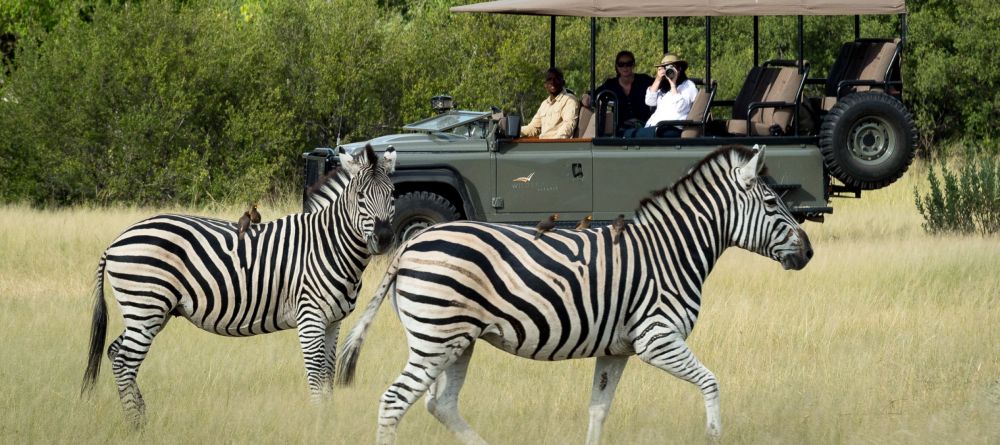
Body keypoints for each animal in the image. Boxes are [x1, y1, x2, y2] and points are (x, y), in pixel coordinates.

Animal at [81, 144, 396, 426]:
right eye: (360, 196)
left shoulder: (333, 321)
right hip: (145, 305)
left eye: (392, 194)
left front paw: (328, 419)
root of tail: (116, 241)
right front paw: (319, 422)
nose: (383, 238)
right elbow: (316, 375)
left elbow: (328, 375)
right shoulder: (310, 318)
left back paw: (142, 417)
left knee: (115, 353)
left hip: (151, 311)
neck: (328, 246)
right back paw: (136, 425)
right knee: (124, 362)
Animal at [337, 144, 813, 444]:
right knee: (395, 401)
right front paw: (714, 435)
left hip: (456, 340)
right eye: (773, 203)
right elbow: (711, 382)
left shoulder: (616, 348)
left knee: (441, 405)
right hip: (437, 337)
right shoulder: (657, 338)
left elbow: (598, 409)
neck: (670, 252)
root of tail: (411, 243)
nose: (808, 252)